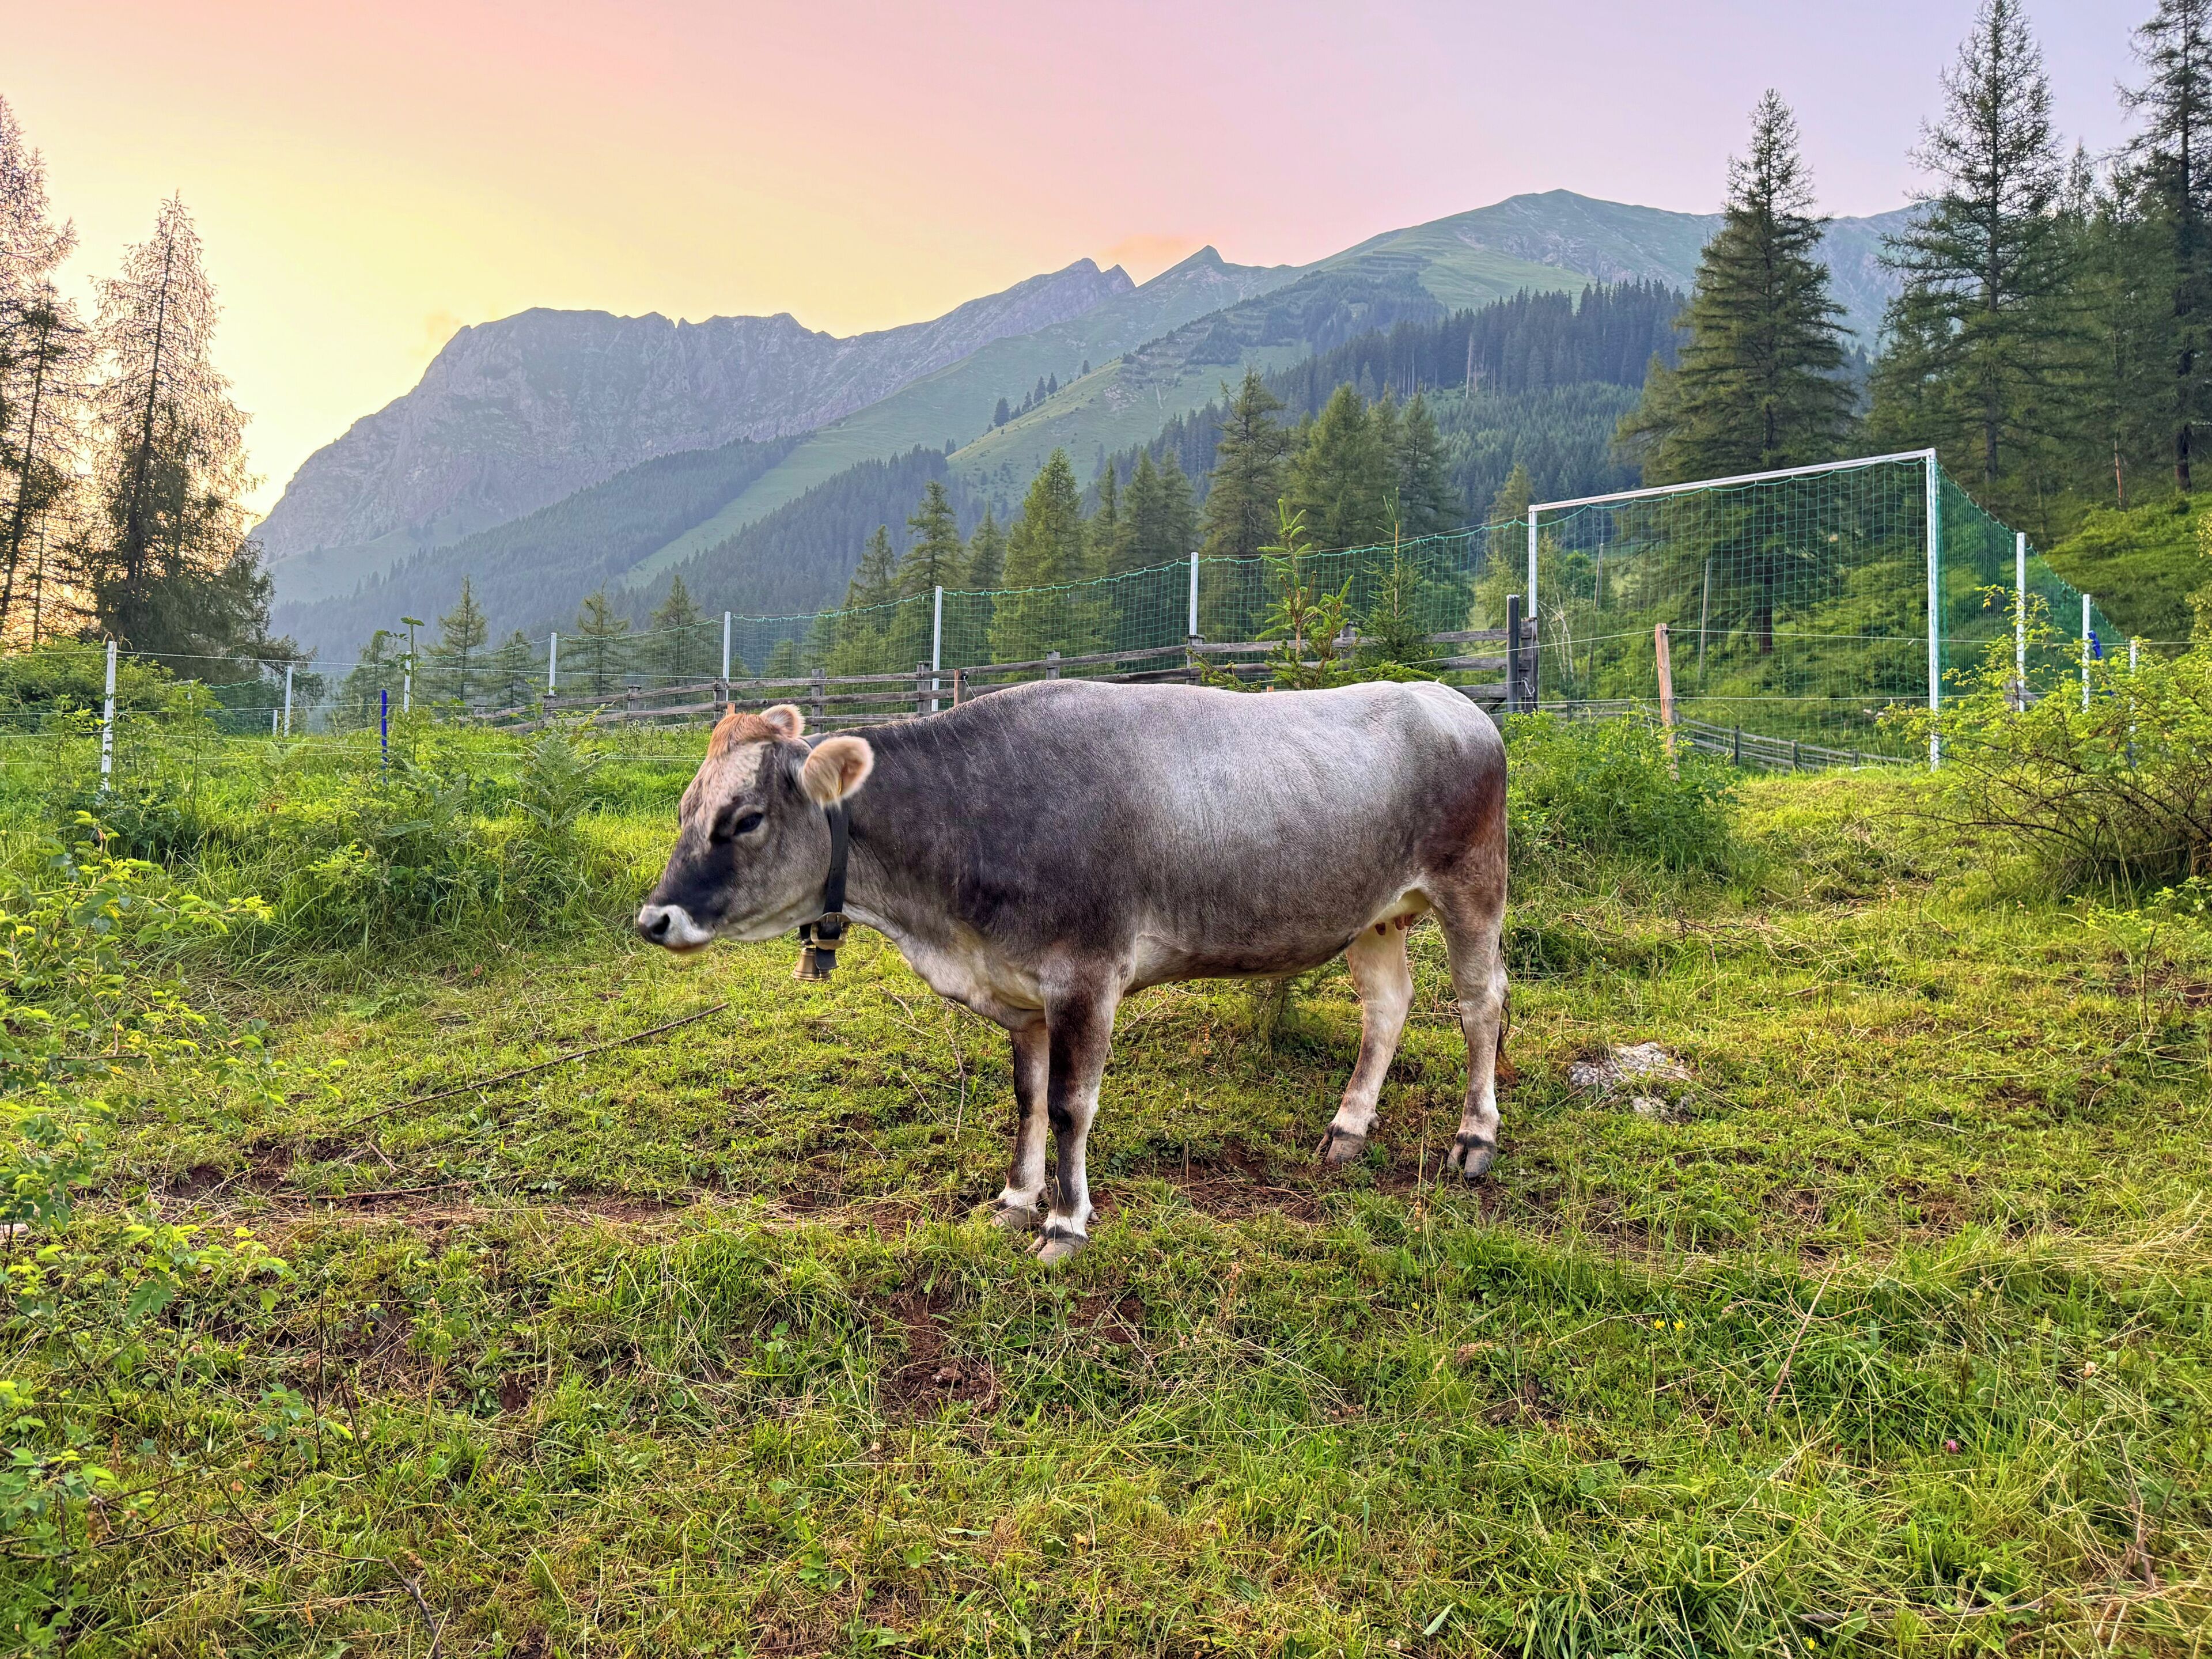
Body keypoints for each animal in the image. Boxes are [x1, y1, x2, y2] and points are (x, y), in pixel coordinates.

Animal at [636, 678, 1509, 1263]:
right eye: (685, 808)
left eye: (745, 819)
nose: (655, 919)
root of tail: (1450, 699)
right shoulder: (1021, 991)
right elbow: (1026, 1100)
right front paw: (1015, 1200)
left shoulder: (1086, 978)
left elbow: (1068, 1107)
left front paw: (1065, 1223)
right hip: (1374, 914)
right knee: (1388, 1007)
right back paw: (1348, 1129)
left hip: (1473, 887)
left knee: (1479, 1006)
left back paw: (1474, 1139)